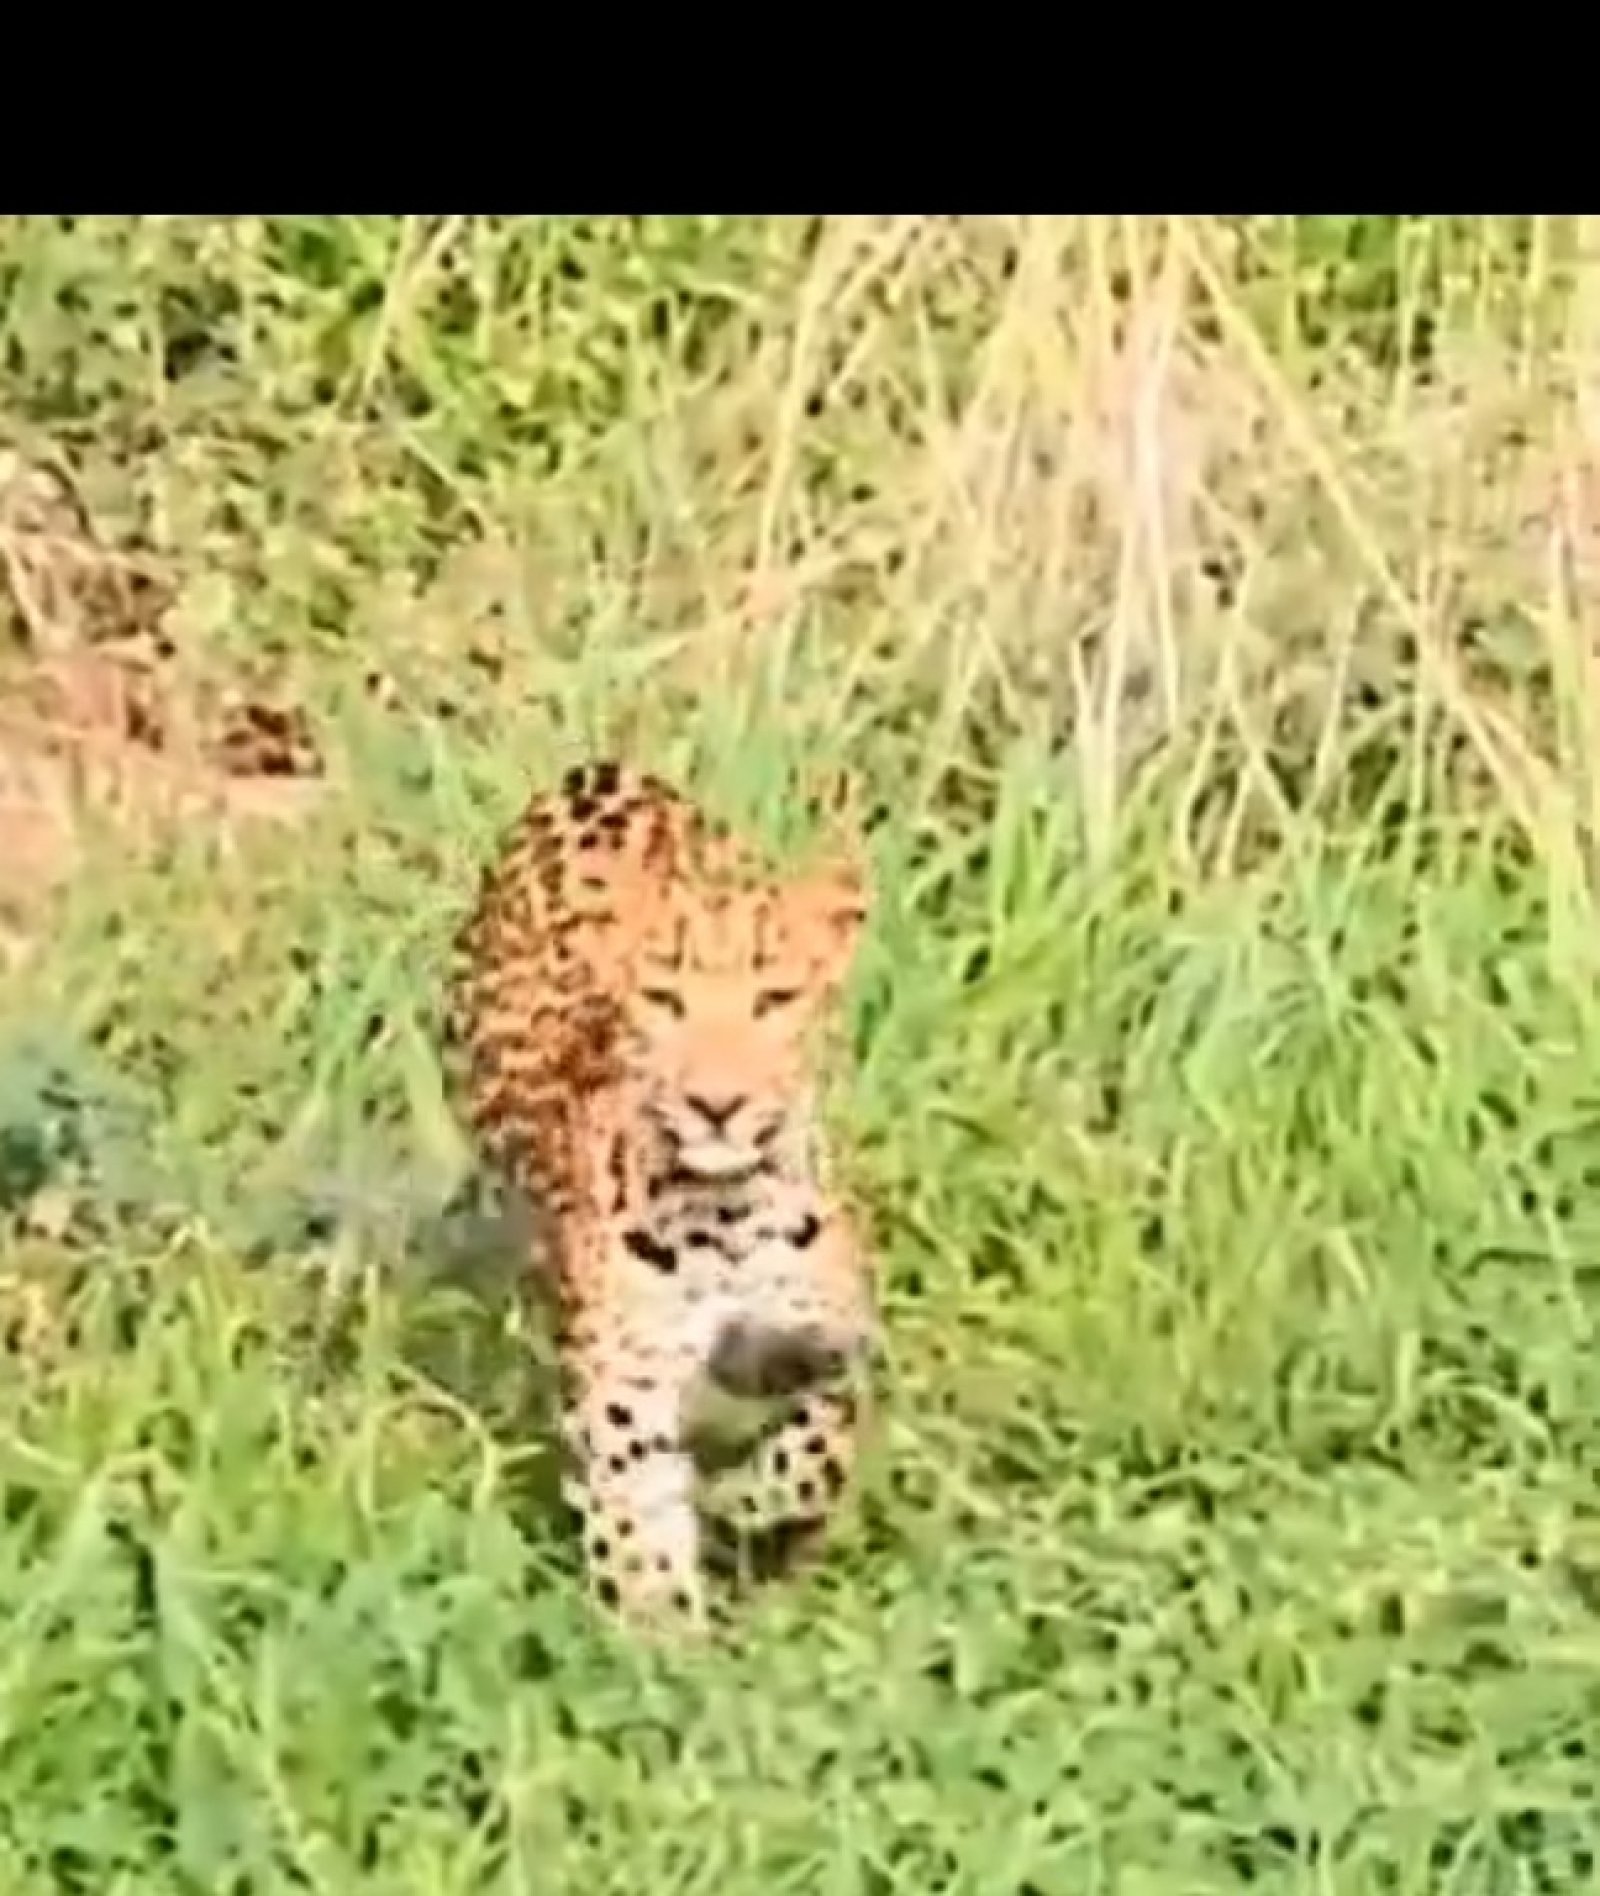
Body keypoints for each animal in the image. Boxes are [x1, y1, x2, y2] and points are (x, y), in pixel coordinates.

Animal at [444, 758, 876, 1632]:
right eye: (663, 999)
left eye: (775, 999)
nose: (717, 1103)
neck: (729, 1213)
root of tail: (599, 769)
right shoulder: (625, 1387)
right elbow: (636, 1517)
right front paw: (659, 1635)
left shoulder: (834, 1336)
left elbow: (820, 1446)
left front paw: (746, 1503)